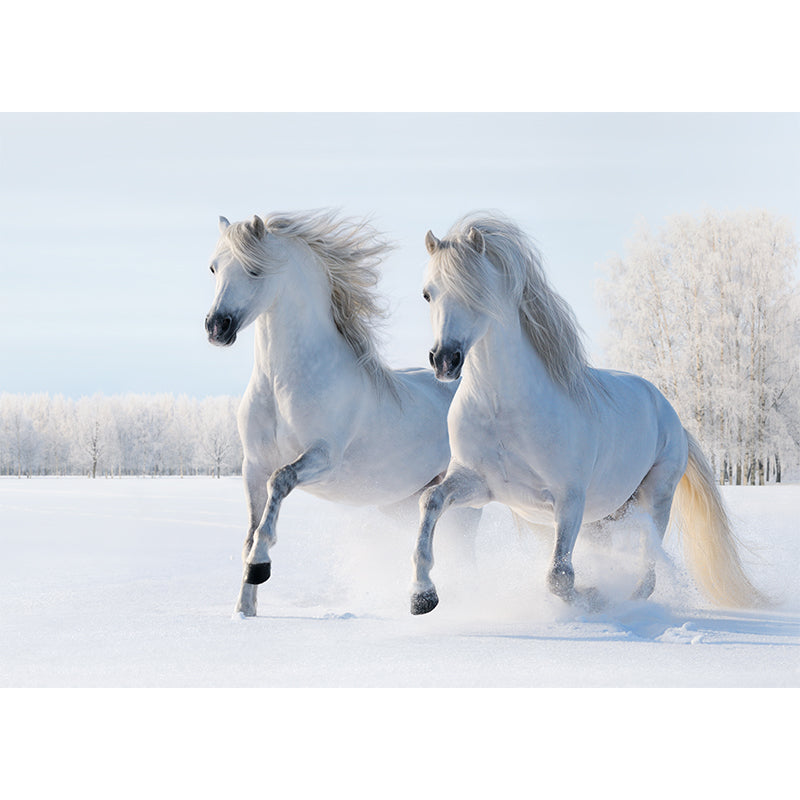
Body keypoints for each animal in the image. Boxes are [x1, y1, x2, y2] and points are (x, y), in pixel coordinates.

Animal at [205, 210, 478, 617]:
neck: (281, 384)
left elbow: (280, 484)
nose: (216, 327)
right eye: (214, 267)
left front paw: (260, 567)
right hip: (401, 503)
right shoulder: (252, 465)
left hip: (466, 498)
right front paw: (245, 609)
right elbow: (250, 531)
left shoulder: (322, 457)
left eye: (254, 270)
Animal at [410, 212, 765, 615]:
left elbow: (559, 577)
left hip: (655, 498)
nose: (445, 360)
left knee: (648, 568)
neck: (503, 409)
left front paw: (593, 598)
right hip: (604, 518)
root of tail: (670, 414)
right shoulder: (479, 484)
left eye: (477, 291)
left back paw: (627, 601)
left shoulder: (569, 499)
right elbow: (430, 500)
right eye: (428, 293)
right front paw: (422, 596)